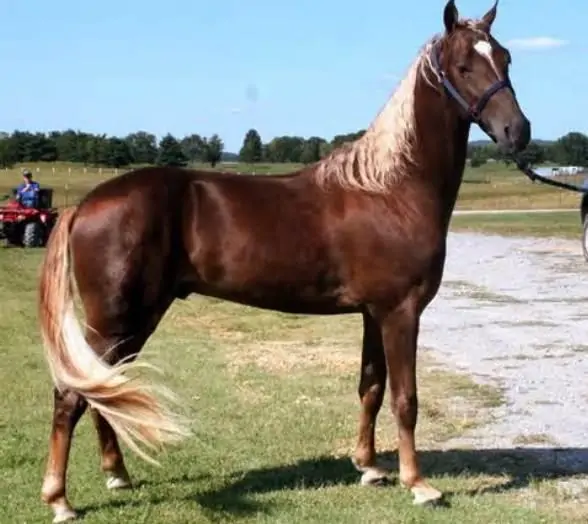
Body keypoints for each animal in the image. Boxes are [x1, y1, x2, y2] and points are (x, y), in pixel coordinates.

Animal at [39, 2, 532, 520]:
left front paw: (369, 468)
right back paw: (60, 499)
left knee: (102, 391)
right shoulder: (401, 312)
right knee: (71, 394)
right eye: (463, 66)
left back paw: (117, 474)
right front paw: (418, 484)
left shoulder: (373, 314)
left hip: (134, 321)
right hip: (116, 319)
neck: (391, 189)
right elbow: (405, 398)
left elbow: (371, 388)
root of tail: (83, 205)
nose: (518, 132)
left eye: (505, 58)